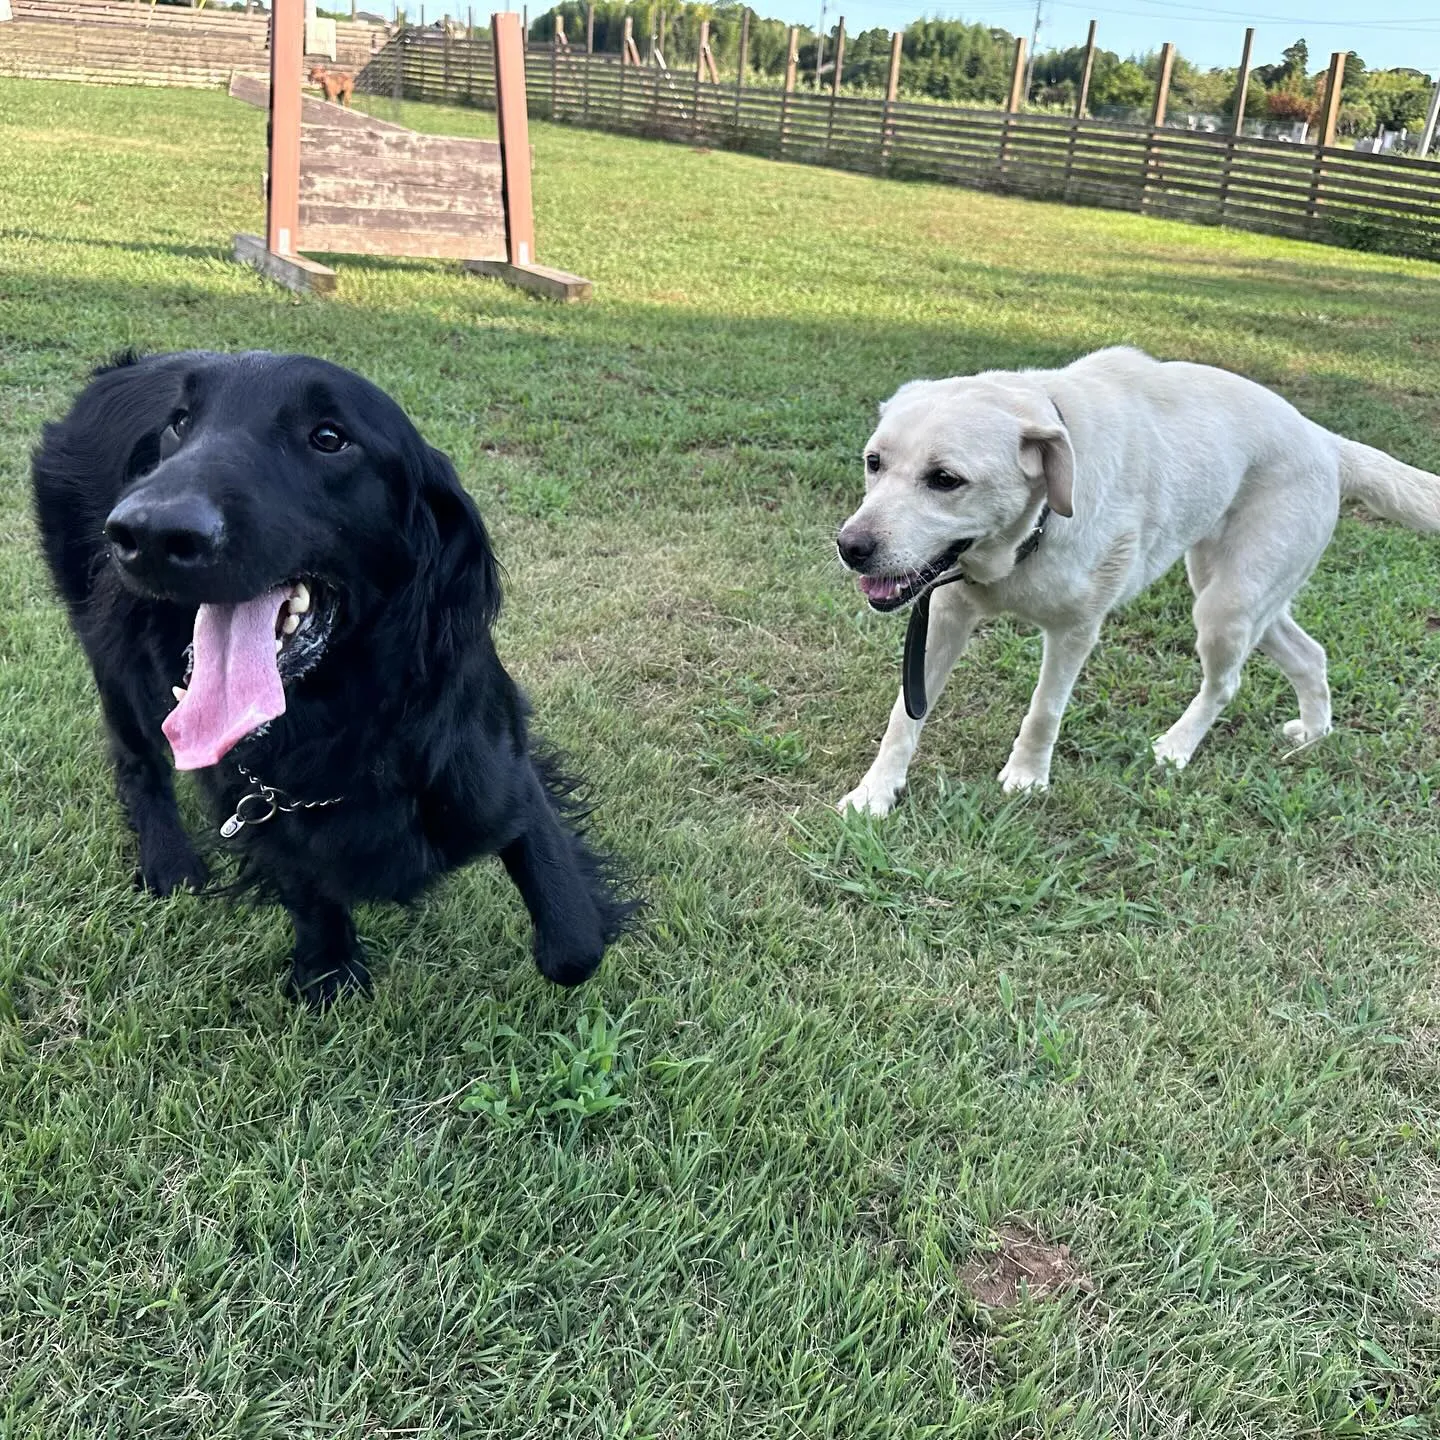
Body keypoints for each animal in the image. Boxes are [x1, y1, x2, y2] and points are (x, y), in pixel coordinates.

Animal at [30, 351, 630, 1002]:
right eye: (180, 424)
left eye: (328, 438)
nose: (148, 533)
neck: (346, 727)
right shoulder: (260, 804)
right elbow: (305, 879)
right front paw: (328, 965)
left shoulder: (501, 772)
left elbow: (573, 944)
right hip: (109, 644)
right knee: (136, 758)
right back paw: (168, 857)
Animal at [840, 348, 1434, 817]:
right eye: (874, 462)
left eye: (945, 479)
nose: (850, 547)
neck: (1031, 533)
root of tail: (1324, 438)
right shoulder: (944, 616)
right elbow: (903, 717)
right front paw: (875, 793)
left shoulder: (1075, 632)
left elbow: (1044, 711)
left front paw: (1028, 778)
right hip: (1242, 597)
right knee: (1310, 655)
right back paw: (1313, 733)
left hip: (1226, 607)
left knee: (1226, 684)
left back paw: (1177, 747)